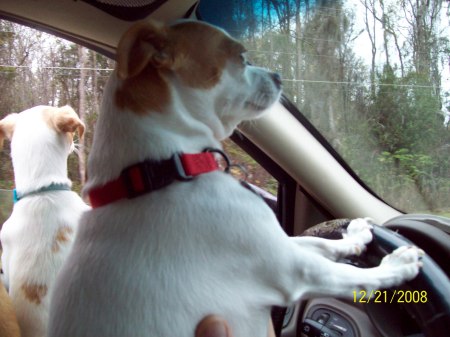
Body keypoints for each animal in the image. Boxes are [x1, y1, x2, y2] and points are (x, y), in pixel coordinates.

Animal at [48, 21, 422, 336]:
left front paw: (356, 237)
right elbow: (354, 278)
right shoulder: (292, 268)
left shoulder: (277, 242)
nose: (279, 76)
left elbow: (323, 244)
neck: (162, 171)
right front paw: (398, 264)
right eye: (241, 57)